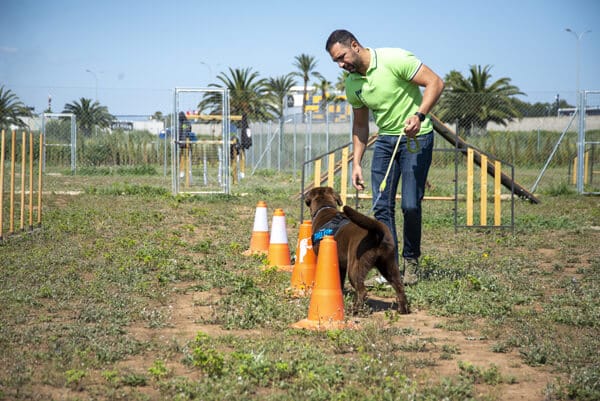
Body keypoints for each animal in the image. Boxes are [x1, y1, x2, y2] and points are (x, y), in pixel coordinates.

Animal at [304, 186, 408, 314]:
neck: (325, 208)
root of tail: (377, 233)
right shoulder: (340, 266)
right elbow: (340, 282)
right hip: (389, 265)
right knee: (399, 286)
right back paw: (403, 309)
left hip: (355, 267)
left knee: (362, 291)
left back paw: (355, 310)